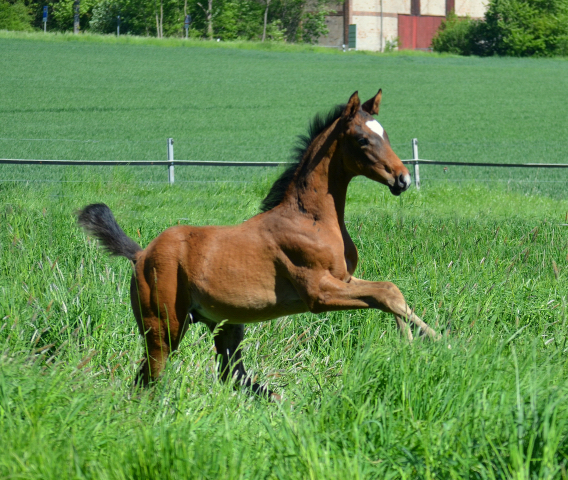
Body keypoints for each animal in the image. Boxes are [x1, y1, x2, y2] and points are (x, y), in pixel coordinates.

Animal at [76, 90, 440, 398]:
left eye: (386, 134)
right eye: (363, 138)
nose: (403, 179)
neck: (310, 220)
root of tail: (140, 254)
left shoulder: (345, 279)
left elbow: (390, 292)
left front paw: (430, 341)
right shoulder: (318, 292)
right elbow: (385, 294)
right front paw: (418, 344)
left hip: (226, 326)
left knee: (232, 376)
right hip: (163, 328)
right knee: (149, 379)